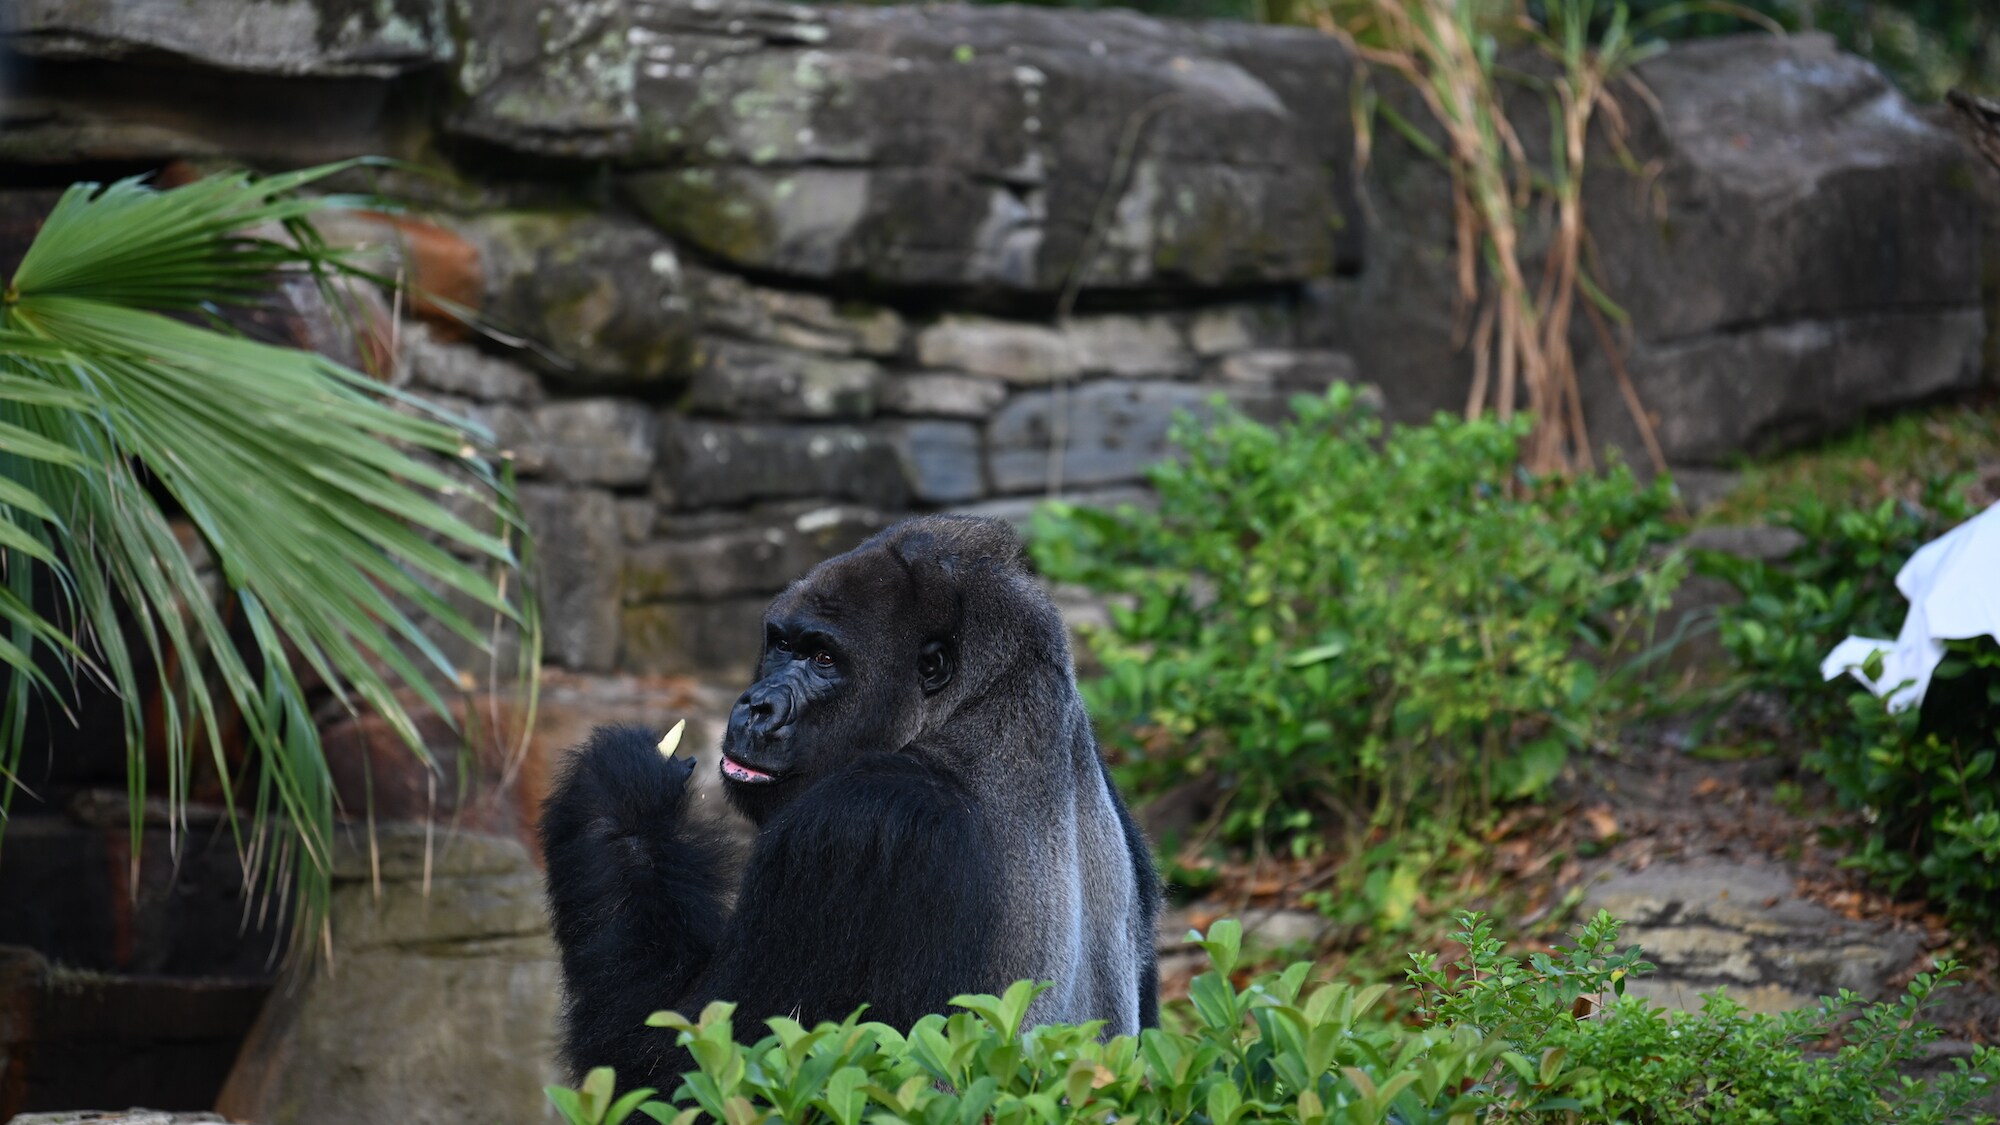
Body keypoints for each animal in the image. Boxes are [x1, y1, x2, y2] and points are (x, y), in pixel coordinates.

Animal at [540, 512, 1168, 1080]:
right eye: (782, 645)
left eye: (822, 659)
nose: (755, 706)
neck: (974, 705)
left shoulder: (858, 825)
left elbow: (678, 1066)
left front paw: (620, 798)